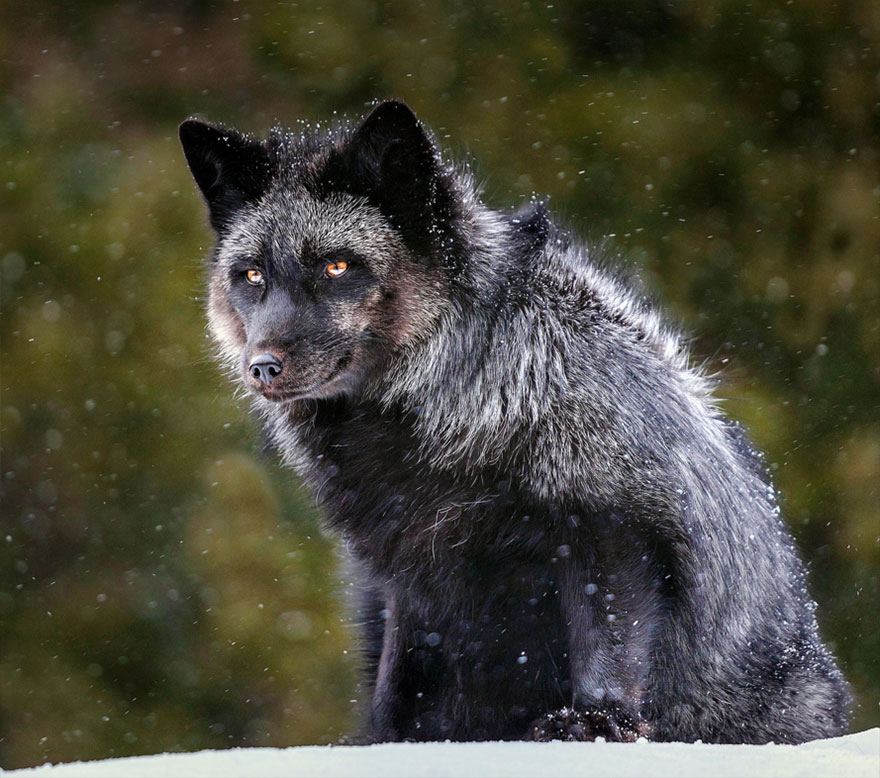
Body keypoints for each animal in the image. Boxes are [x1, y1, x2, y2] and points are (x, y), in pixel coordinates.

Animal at [179, 100, 850, 744]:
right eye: (252, 275)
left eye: (337, 268)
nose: (262, 367)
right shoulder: (407, 566)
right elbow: (399, 684)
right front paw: (385, 742)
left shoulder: (612, 520)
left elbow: (607, 639)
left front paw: (594, 724)